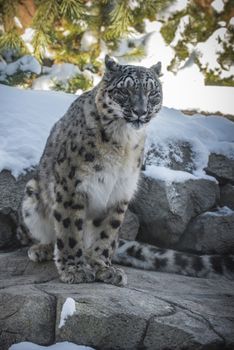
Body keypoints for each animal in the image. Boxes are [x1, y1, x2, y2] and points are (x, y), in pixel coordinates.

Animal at [18, 55, 234, 284]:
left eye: (152, 92)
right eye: (125, 90)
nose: (141, 111)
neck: (123, 140)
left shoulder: (118, 191)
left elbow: (106, 233)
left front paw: (104, 268)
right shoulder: (71, 185)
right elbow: (69, 230)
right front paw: (74, 269)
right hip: (31, 196)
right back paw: (41, 249)